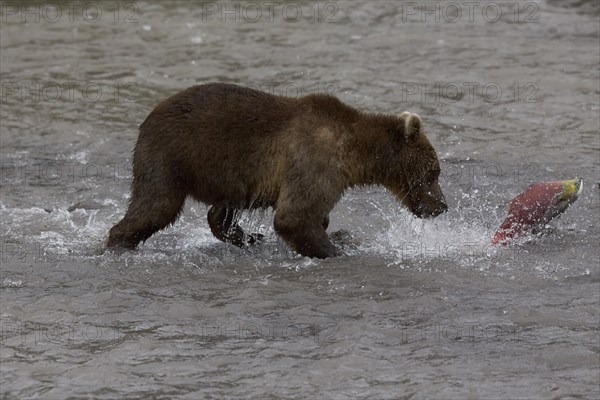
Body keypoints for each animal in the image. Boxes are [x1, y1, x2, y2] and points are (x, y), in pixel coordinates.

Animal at [106, 83, 446, 260]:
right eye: (434, 172)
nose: (442, 206)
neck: (355, 154)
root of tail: (146, 119)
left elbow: (313, 216)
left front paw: (338, 234)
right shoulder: (315, 162)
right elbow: (294, 217)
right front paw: (337, 247)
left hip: (228, 176)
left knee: (218, 212)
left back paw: (248, 236)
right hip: (170, 157)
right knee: (155, 205)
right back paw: (118, 243)